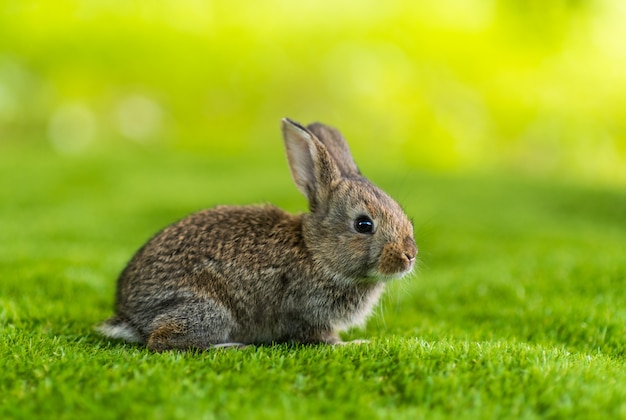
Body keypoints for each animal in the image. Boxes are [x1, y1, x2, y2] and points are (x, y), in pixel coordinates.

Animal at [97, 119, 416, 352]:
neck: (315, 252)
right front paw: (354, 344)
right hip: (208, 311)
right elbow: (321, 339)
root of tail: (130, 317)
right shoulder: (307, 313)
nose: (410, 255)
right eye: (363, 224)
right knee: (163, 342)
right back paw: (230, 346)